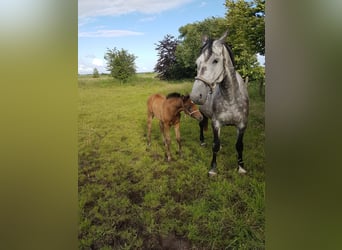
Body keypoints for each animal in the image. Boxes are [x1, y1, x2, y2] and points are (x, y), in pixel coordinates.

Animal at [190, 30, 248, 176]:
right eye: (197, 63)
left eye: (215, 61)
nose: (195, 96)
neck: (231, 98)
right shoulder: (215, 123)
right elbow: (215, 146)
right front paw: (213, 169)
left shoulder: (242, 125)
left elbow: (239, 146)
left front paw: (241, 167)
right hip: (203, 114)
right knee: (201, 125)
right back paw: (202, 141)